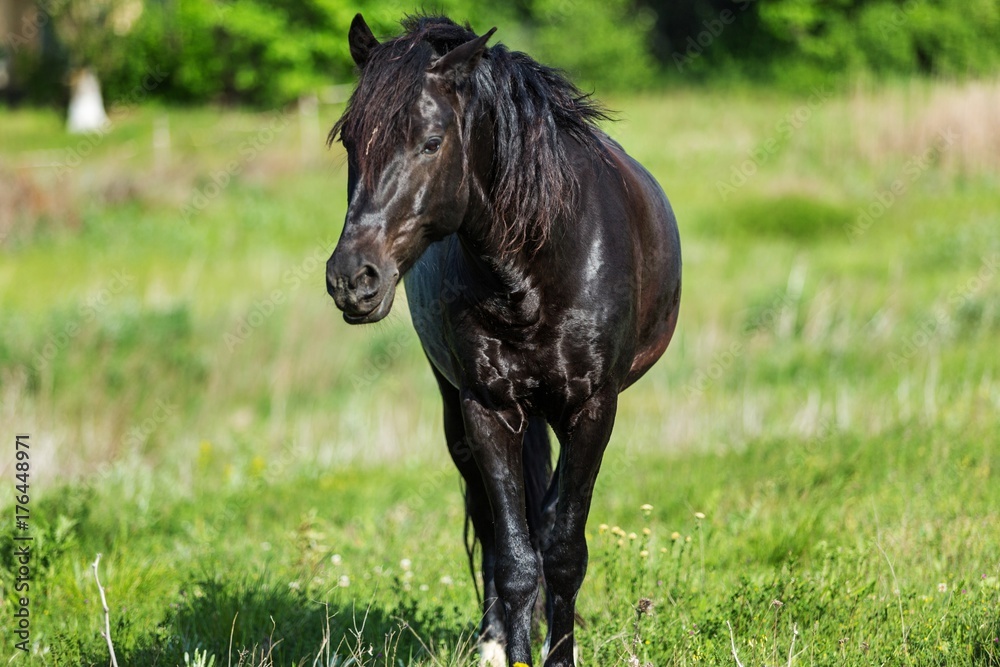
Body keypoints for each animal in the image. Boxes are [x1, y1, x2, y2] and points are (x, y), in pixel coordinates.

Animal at [326, 15, 680, 667]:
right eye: (349, 143)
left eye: (431, 141)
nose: (351, 280)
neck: (536, 270)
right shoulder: (486, 409)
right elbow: (515, 557)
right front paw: (512, 647)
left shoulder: (593, 408)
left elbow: (562, 551)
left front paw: (558, 653)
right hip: (460, 413)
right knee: (495, 521)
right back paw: (492, 639)